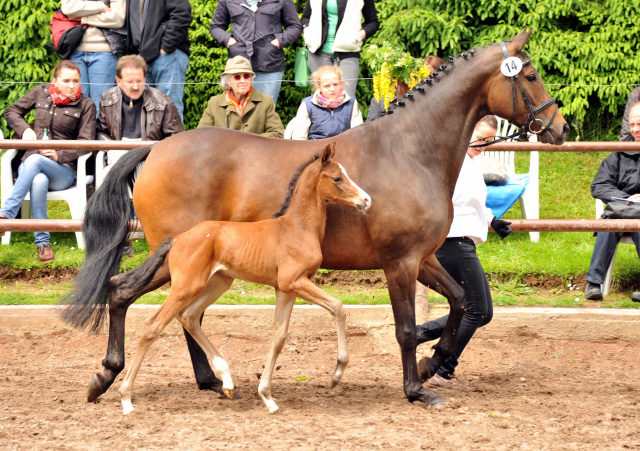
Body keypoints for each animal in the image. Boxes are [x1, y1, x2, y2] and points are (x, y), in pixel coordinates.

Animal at [116, 146, 370, 416]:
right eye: (337, 178)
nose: (365, 200)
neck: (296, 228)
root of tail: (177, 238)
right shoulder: (294, 282)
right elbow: (338, 307)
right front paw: (336, 374)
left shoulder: (285, 289)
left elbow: (279, 336)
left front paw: (267, 396)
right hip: (186, 287)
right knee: (152, 326)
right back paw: (126, 398)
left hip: (218, 283)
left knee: (189, 316)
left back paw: (227, 382)